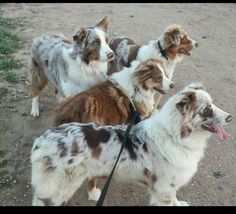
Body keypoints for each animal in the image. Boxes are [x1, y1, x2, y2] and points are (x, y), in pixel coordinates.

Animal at [30, 83, 231, 206]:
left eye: (213, 104)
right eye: (206, 110)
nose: (230, 117)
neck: (175, 136)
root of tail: (42, 140)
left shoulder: (170, 185)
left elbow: (175, 198)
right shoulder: (163, 189)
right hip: (58, 191)